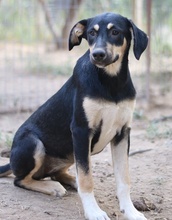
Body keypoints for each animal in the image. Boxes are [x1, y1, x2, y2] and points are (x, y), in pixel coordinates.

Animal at [0, 12, 148, 219]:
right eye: (91, 33)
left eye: (115, 32)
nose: (97, 54)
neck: (111, 81)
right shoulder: (81, 131)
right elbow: (87, 179)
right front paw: (93, 211)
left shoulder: (122, 133)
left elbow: (123, 179)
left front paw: (131, 211)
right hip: (33, 143)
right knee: (20, 180)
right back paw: (53, 186)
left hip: (71, 153)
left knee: (56, 173)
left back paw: (69, 180)